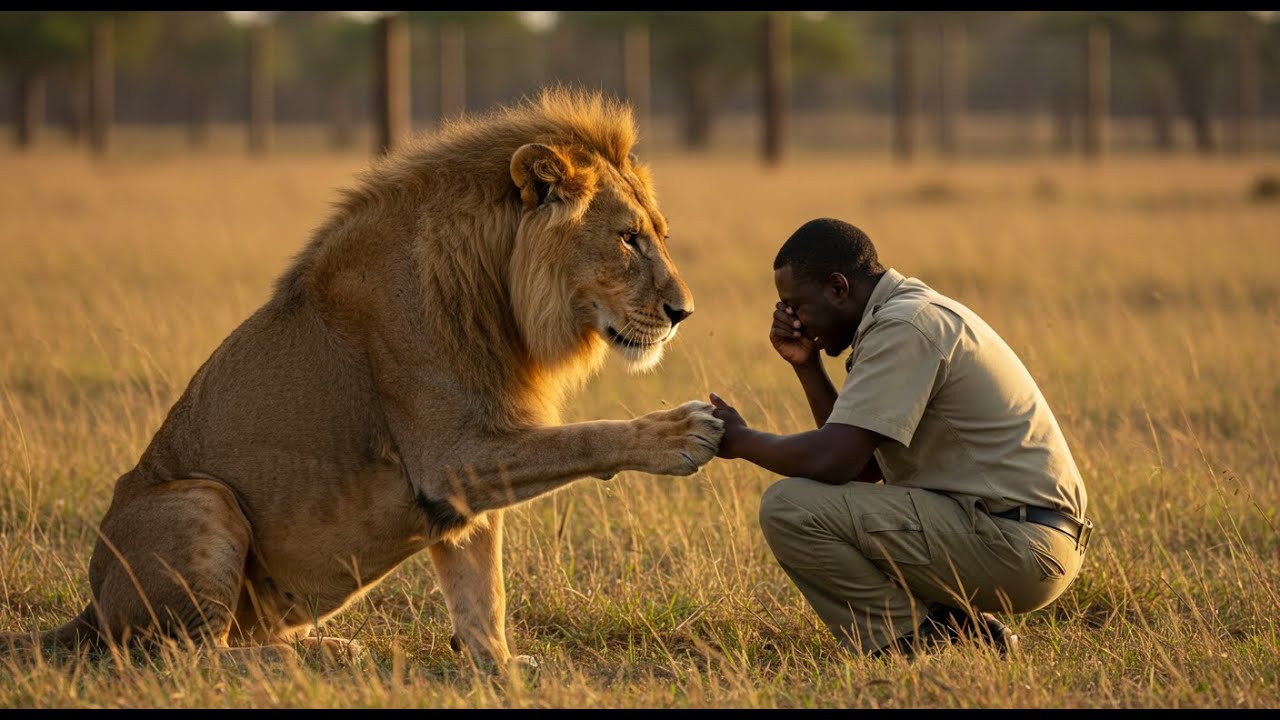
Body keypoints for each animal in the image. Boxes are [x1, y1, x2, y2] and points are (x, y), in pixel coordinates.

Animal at [3, 87, 724, 673]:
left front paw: (497, 665)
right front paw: (677, 434)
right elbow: (584, 439)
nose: (685, 312)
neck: (501, 296)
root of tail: (91, 606)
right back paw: (297, 662)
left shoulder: (465, 481)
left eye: (659, 235)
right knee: (185, 656)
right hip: (201, 498)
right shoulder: (453, 457)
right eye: (628, 239)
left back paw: (327, 648)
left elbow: (480, 589)